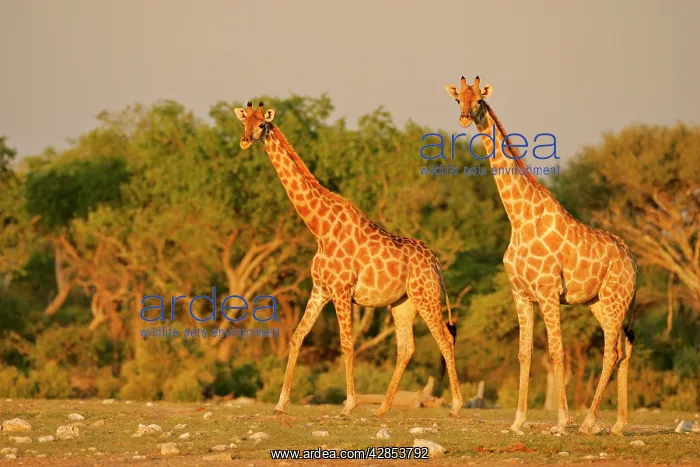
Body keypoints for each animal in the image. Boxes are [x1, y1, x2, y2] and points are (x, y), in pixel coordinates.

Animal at [234, 101, 463, 418]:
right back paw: (382, 408)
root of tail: (437, 263)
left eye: (261, 125)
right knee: (407, 347)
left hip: (426, 295)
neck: (320, 228)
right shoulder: (321, 289)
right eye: (244, 123)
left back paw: (456, 406)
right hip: (402, 303)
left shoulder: (342, 291)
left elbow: (346, 343)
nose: (245, 140)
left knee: (444, 338)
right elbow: (297, 336)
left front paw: (348, 405)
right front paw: (280, 404)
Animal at [444, 76, 637, 435]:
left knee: (612, 352)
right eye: (457, 99)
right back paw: (618, 424)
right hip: (601, 303)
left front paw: (562, 421)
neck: (519, 219)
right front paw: (518, 420)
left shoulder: (548, 292)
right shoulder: (521, 294)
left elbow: (556, 352)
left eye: (479, 100)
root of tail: (635, 262)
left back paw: (589, 422)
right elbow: (524, 354)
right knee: (625, 349)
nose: (464, 118)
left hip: (616, 300)